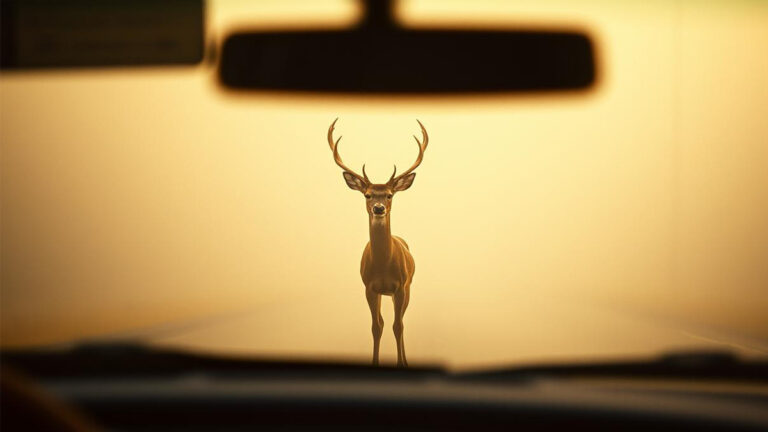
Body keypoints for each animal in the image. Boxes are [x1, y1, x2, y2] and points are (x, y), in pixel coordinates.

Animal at [326, 118, 429, 367]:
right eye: (368, 195)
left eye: (390, 195)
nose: (379, 208)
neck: (383, 266)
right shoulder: (369, 287)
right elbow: (376, 326)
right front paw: (374, 363)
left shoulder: (400, 286)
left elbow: (398, 326)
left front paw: (402, 363)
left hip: (407, 287)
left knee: (401, 322)